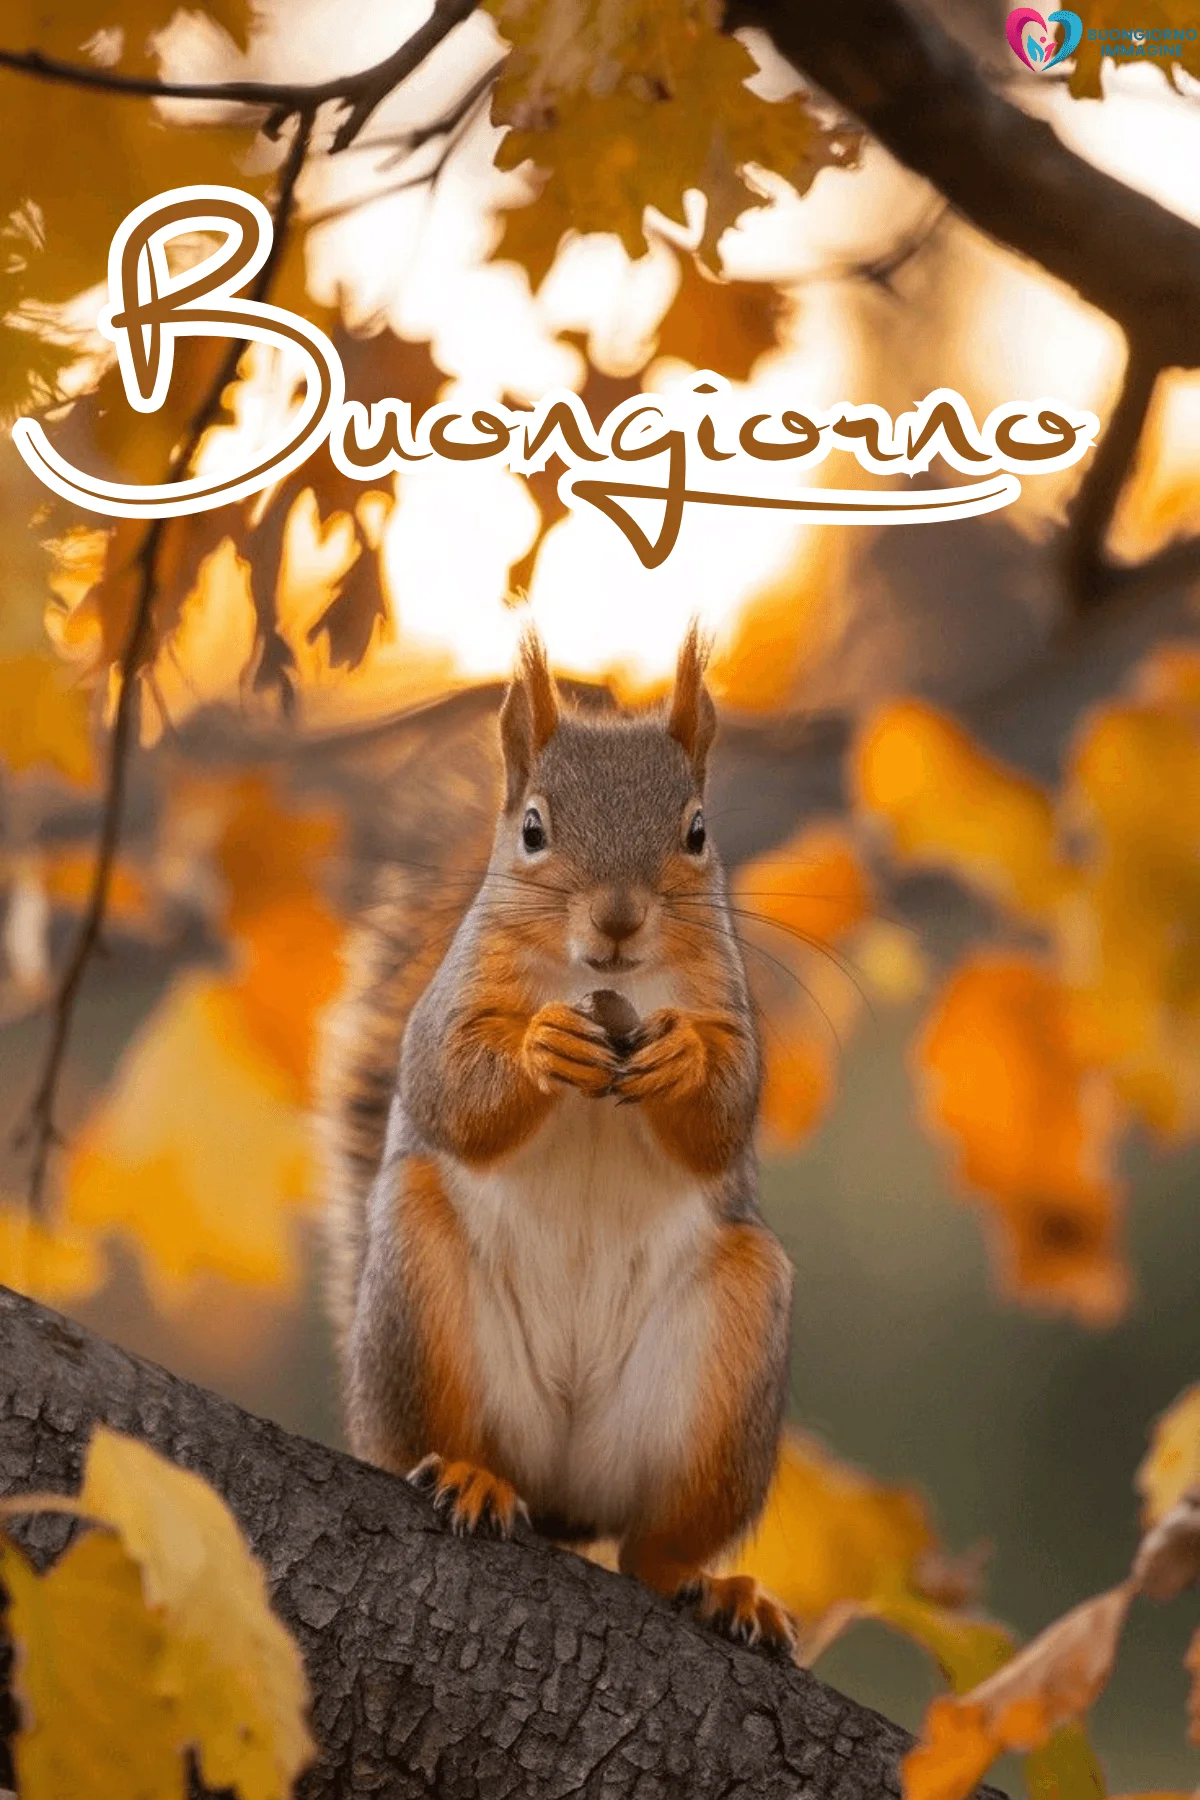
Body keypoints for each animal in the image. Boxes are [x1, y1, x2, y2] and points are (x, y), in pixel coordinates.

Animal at [319, 624, 795, 1650]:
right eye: (533, 829)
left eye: (698, 831)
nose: (618, 918)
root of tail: (565, 1497)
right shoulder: (452, 1001)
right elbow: (447, 1084)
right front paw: (542, 1044)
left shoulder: (730, 1007)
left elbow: (727, 1110)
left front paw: (681, 1058)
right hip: (417, 1307)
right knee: (444, 1443)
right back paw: (470, 1476)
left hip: (731, 1358)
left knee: (654, 1546)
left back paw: (715, 1586)